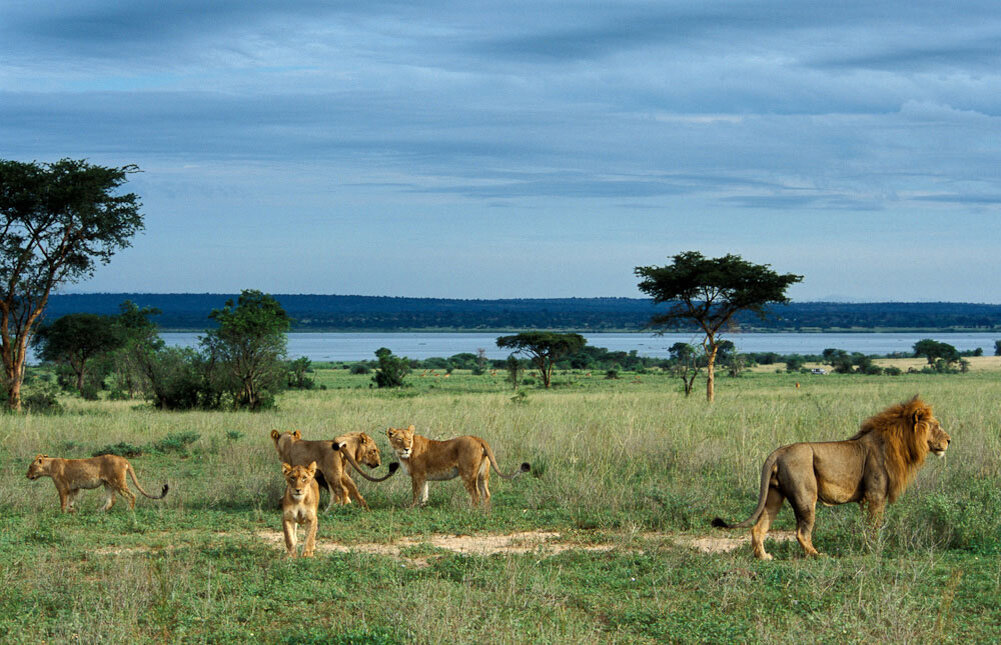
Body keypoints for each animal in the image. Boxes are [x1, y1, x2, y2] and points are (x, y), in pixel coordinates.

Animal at [712, 394, 952, 556]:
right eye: (936, 426)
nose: (949, 440)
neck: (899, 443)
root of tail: (778, 452)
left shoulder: (866, 498)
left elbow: (866, 525)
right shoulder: (875, 495)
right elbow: (875, 526)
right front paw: (875, 548)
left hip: (774, 495)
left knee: (758, 527)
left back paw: (763, 557)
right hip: (805, 496)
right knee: (801, 532)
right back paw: (817, 556)